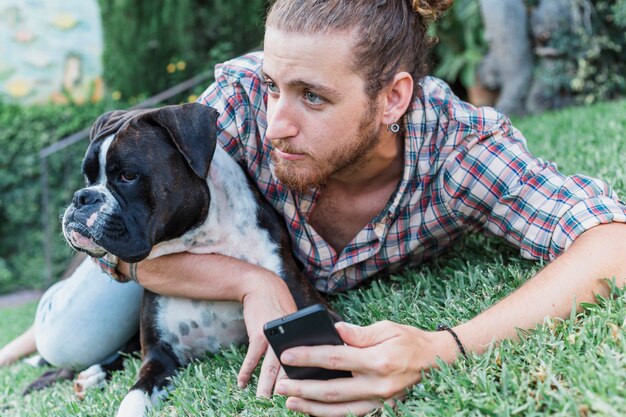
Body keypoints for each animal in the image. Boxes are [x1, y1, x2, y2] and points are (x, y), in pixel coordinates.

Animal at [60, 102, 330, 414]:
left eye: (128, 176)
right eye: (88, 178)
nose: (82, 197)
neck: (204, 241)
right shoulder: (159, 358)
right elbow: (133, 397)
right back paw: (93, 375)